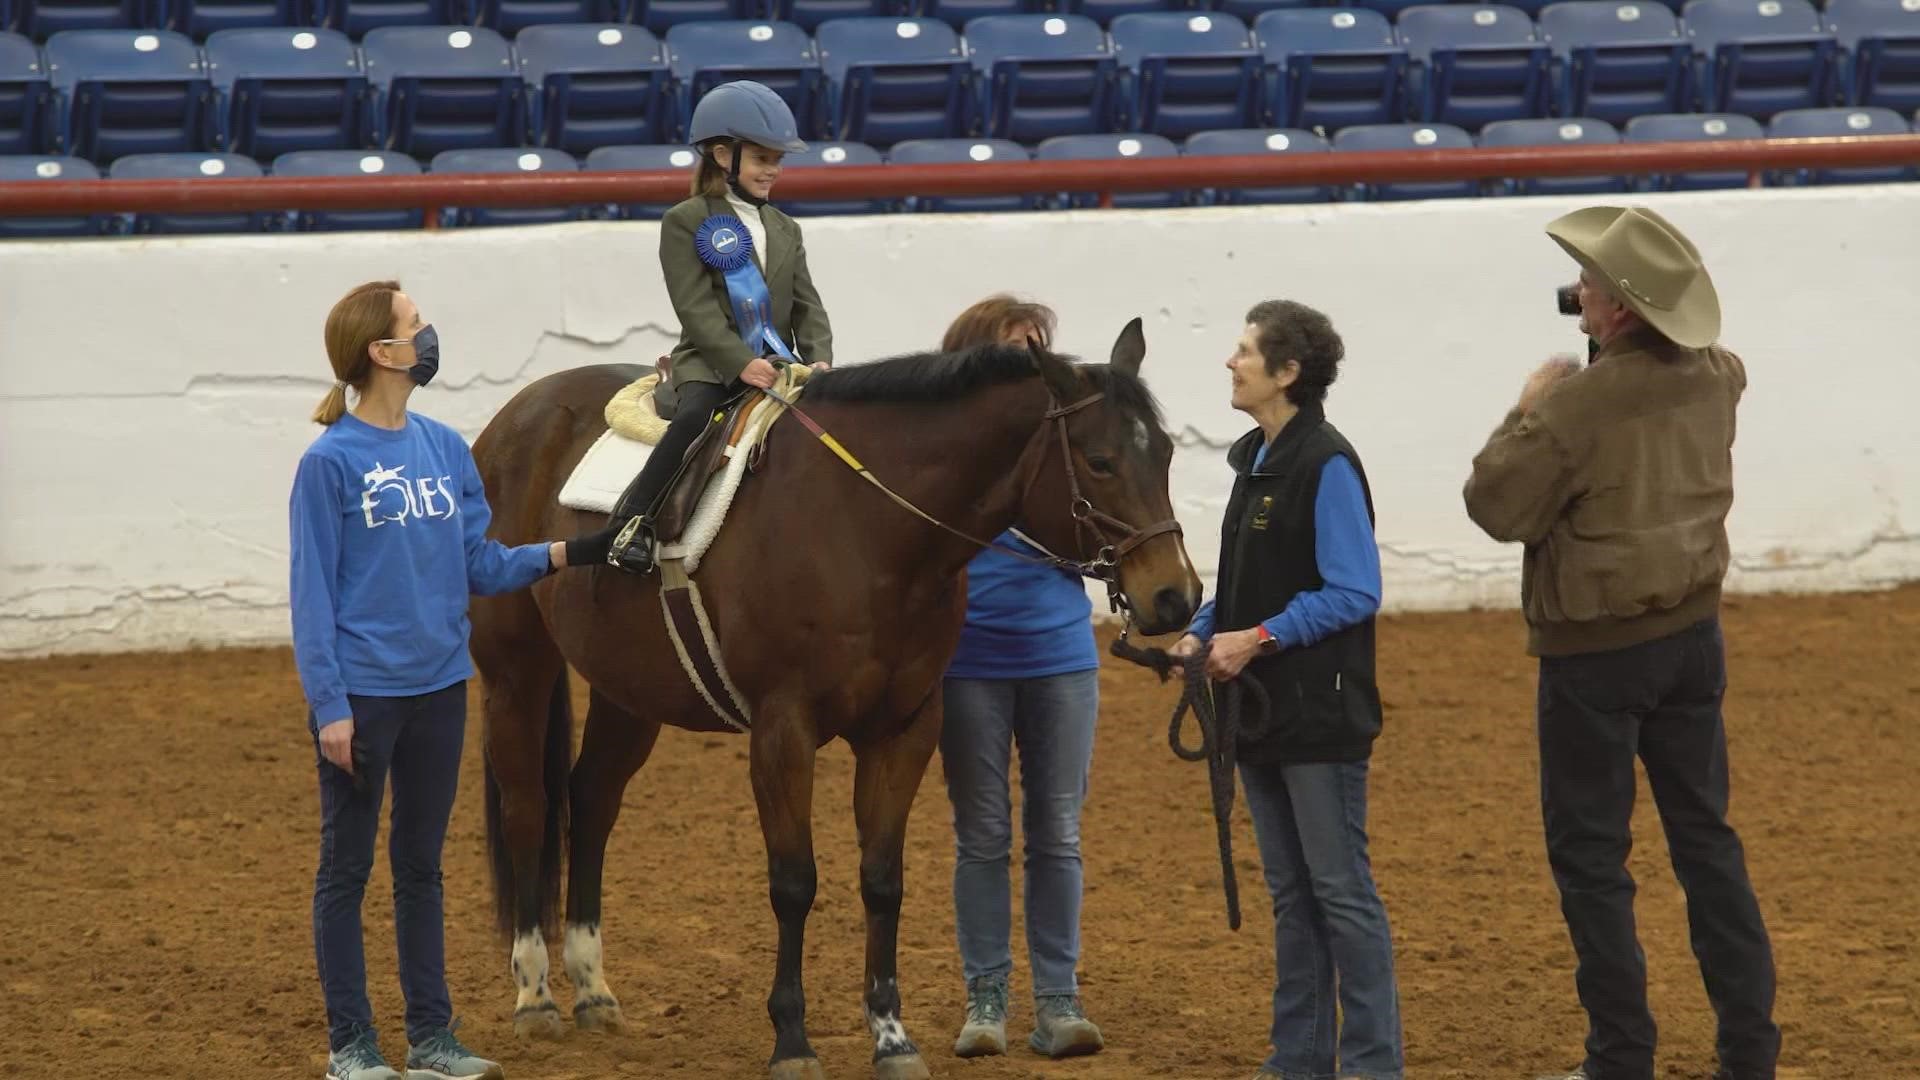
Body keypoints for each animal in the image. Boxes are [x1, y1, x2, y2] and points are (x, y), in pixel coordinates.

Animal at [464, 320, 1198, 1076]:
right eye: (1101, 462)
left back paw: (592, 991)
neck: (864, 527)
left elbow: (882, 880)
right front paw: (792, 1040)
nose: (1176, 596)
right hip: (516, 670)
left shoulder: (904, 729)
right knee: (528, 810)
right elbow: (795, 882)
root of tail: (518, 414)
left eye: (1167, 455)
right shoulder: (782, 731)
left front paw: (892, 1038)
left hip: (630, 691)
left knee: (590, 801)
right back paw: (536, 998)